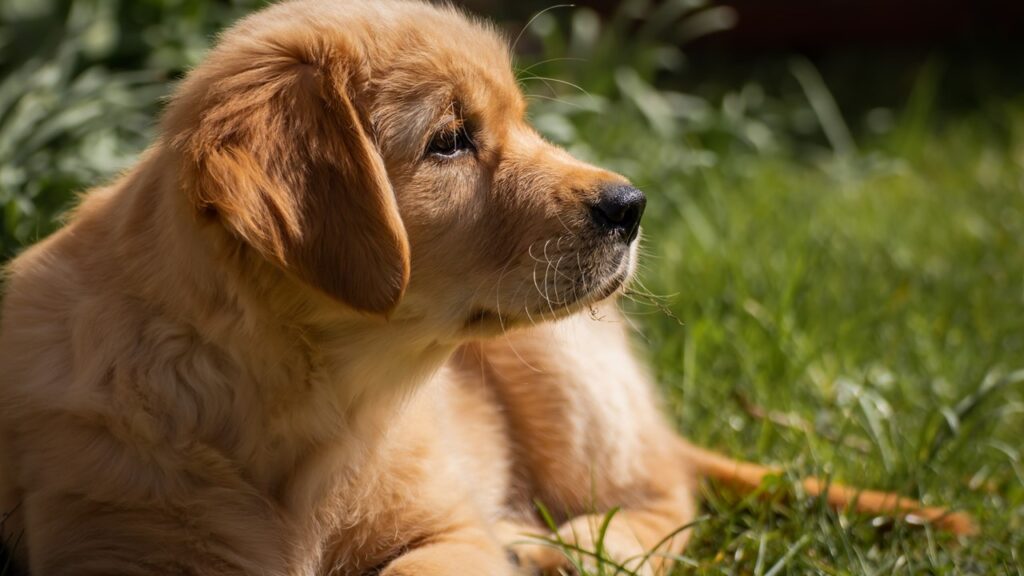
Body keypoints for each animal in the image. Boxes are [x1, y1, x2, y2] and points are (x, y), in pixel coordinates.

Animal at [0, 1, 974, 573]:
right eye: (449, 141)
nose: (632, 205)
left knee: (666, 499)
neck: (306, 397)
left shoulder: (449, 524)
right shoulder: (108, 535)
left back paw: (569, 543)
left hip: (562, 364)